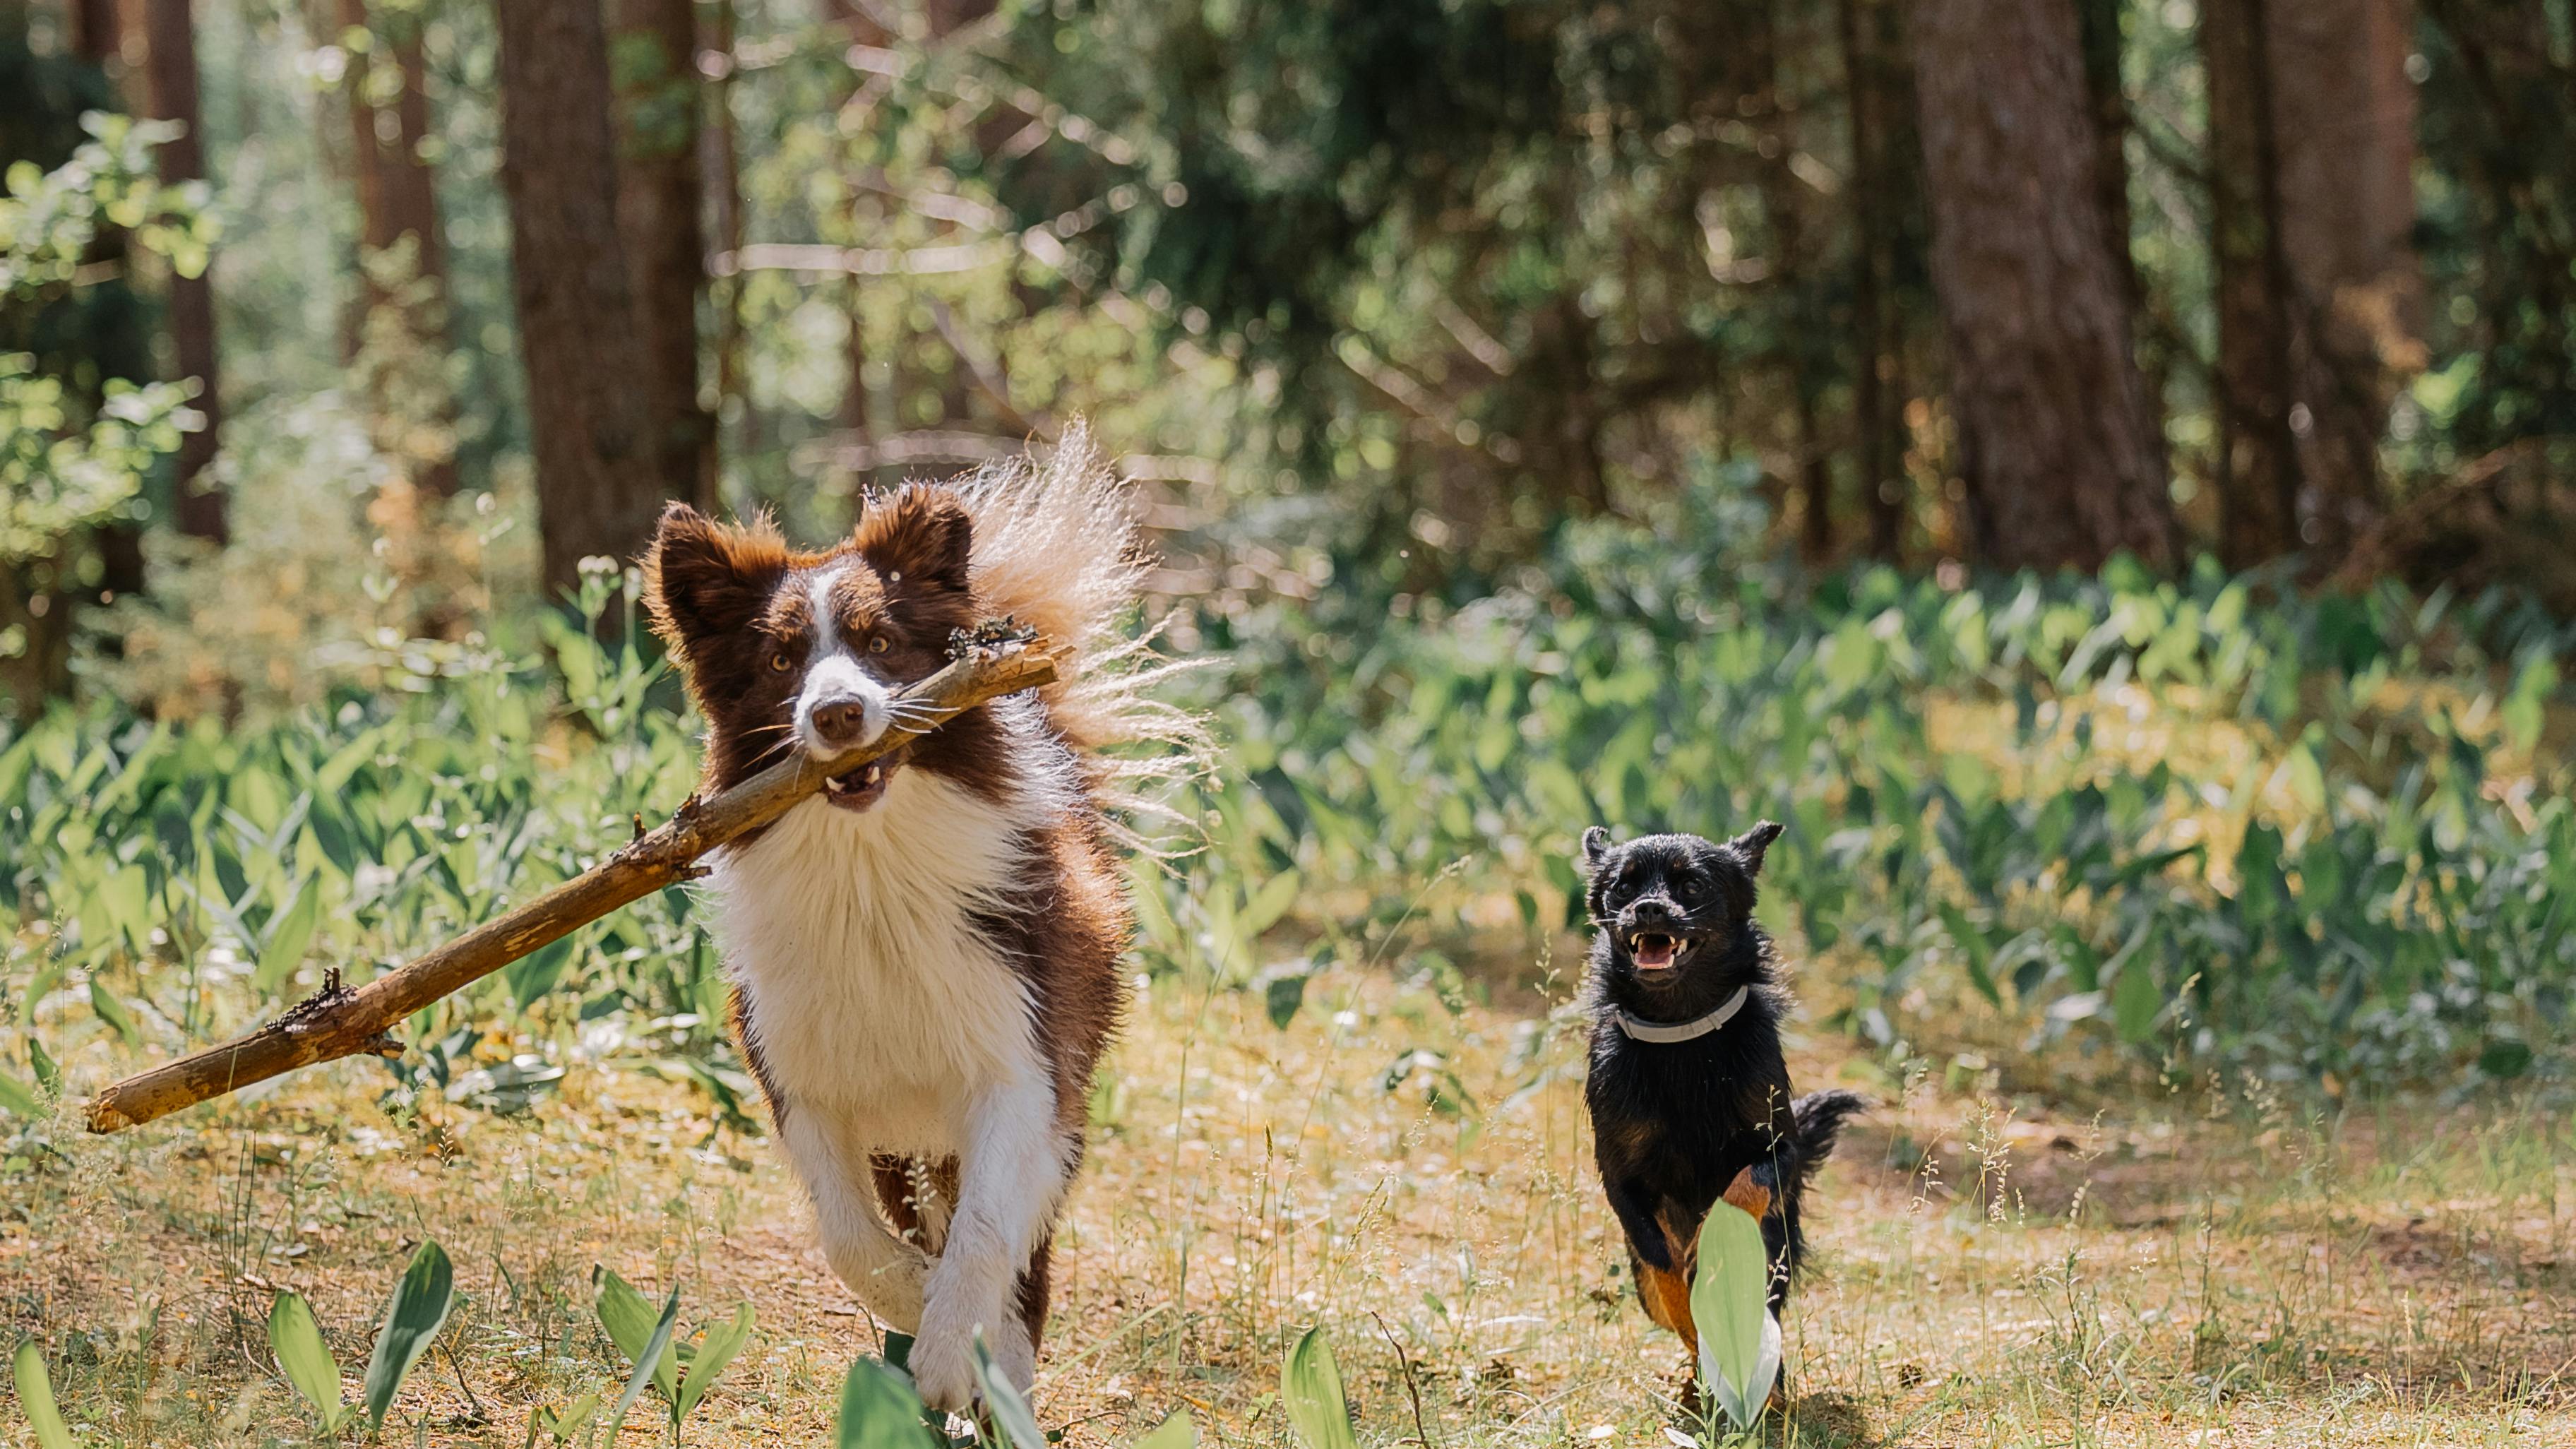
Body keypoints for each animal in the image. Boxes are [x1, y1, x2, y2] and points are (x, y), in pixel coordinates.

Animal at [654, 428, 1195, 1402]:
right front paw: (916, 1302)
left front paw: (951, 1349)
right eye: (782, 661)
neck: (870, 866)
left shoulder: (1021, 1062)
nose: (838, 713)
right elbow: (850, 1239)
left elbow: (985, 1232)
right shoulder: (801, 1074)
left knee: (1026, 1253)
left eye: (879, 642)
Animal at [1576, 825, 1865, 1351]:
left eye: (1692, 886)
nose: (1648, 908)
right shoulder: (1619, 1176)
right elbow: (1659, 1257)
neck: (1681, 1033)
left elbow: (1743, 1186)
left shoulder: (1781, 1148)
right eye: (1623, 887)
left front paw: (1710, 1243)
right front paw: (1686, 1306)